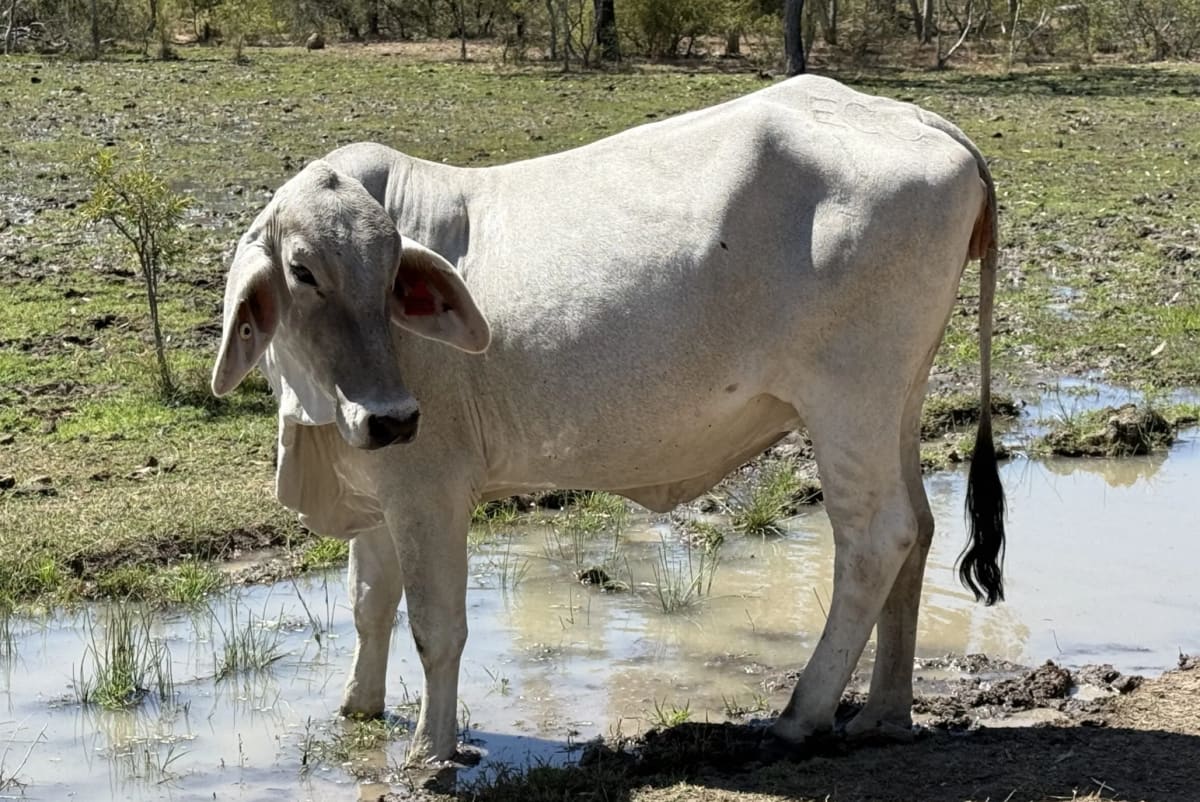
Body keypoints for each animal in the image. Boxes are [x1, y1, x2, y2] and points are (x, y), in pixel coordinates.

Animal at [210, 74, 1005, 765]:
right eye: (303, 271)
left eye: (387, 274)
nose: (391, 416)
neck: (318, 412)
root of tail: (921, 119)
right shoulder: (376, 486)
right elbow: (369, 606)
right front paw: (358, 710)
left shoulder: (427, 486)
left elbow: (436, 627)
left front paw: (429, 754)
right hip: (899, 400)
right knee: (919, 529)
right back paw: (884, 714)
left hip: (849, 404)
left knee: (876, 537)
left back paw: (801, 714)